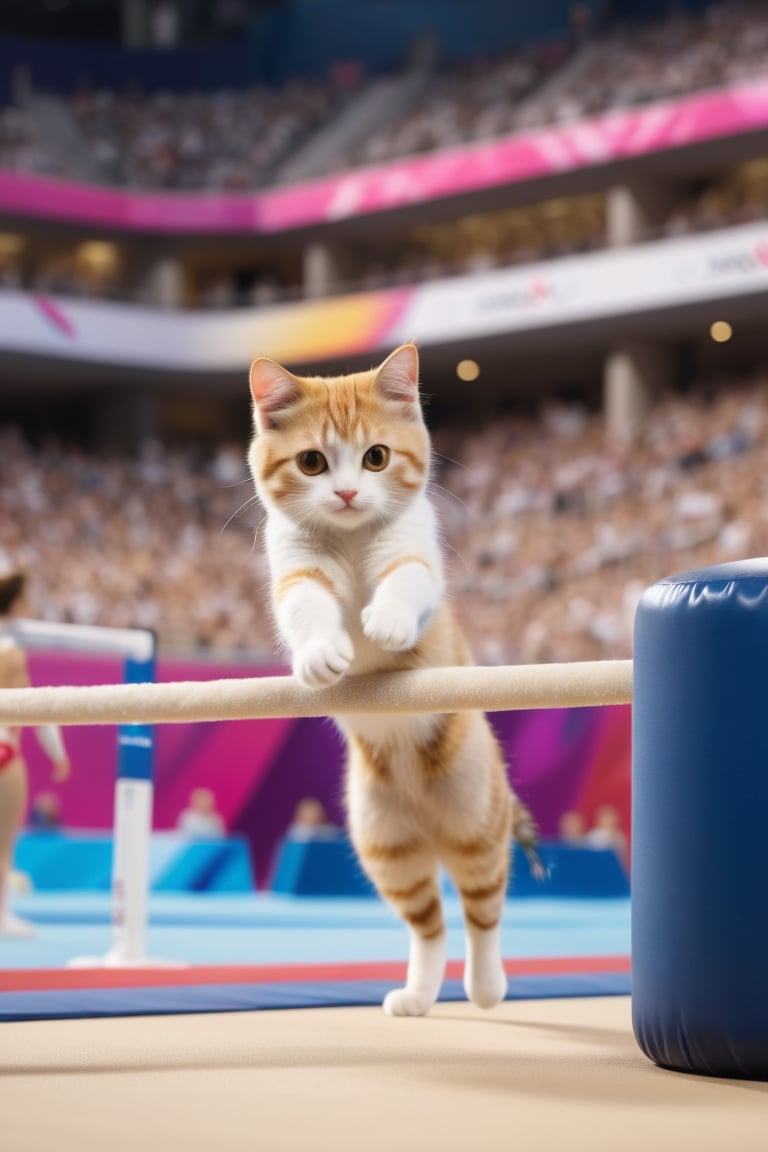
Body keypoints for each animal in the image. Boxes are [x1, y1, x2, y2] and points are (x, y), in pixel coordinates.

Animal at [249, 343, 525, 1018]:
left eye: (376, 457)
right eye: (312, 462)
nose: (348, 492)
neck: (350, 541)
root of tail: (430, 826)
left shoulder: (414, 553)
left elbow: (406, 581)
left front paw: (389, 621)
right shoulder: (296, 570)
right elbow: (307, 609)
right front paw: (322, 654)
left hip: (478, 823)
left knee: (483, 911)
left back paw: (486, 986)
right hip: (386, 848)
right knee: (430, 924)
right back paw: (418, 996)